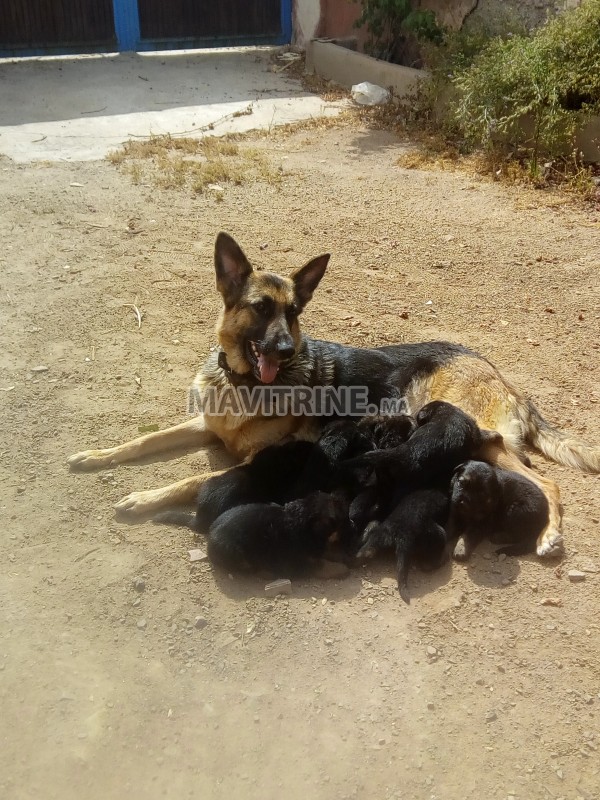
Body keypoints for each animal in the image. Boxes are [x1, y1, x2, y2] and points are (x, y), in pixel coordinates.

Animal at [67, 231, 600, 556]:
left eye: (294, 312)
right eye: (261, 309)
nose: (286, 349)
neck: (244, 384)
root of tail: (499, 373)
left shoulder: (256, 460)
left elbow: (188, 481)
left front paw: (142, 498)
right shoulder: (203, 424)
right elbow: (143, 440)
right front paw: (96, 456)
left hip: (482, 436)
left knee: (548, 483)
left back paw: (549, 534)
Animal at [207, 490, 350, 580]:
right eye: (343, 520)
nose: (352, 524)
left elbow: (325, 551)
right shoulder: (299, 561)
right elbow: (321, 565)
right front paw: (341, 568)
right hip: (237, 552)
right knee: (249, 567)